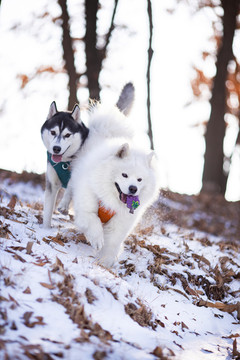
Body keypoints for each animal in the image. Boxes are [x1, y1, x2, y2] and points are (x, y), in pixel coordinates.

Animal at [70, 83, 158, 266]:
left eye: (139, 180)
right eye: (124, 175)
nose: (133, 189)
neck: (111, 201)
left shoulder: (120, 224)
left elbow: (112, 242)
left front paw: (105, 261)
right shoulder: (86, 207)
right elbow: (93, 221)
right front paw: (97, 240)